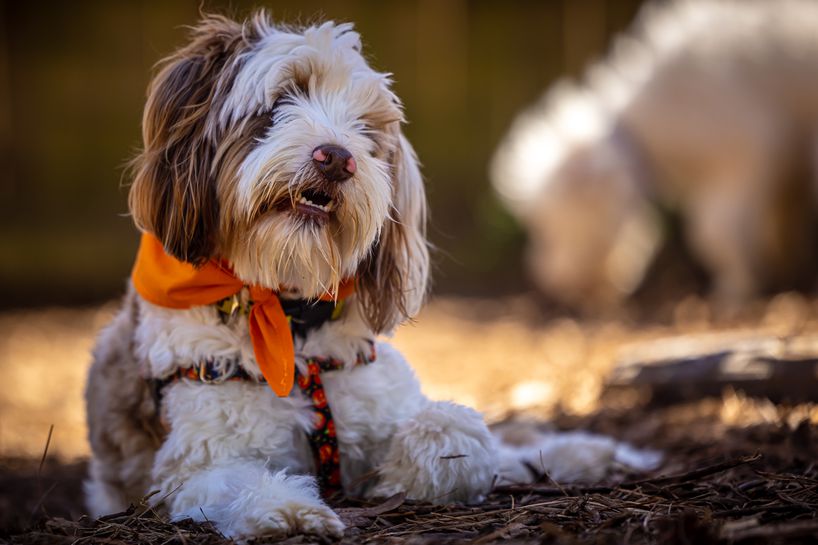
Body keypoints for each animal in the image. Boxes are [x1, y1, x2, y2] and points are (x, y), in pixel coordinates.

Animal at [84, 12, 656, 540]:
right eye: (282, 98)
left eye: (364, 127)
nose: (337, 158)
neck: (293, 322)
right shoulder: (192, 462)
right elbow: (233, 480)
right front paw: (289, 511)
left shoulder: (383, 400)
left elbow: (458, 432)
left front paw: (395, 476)